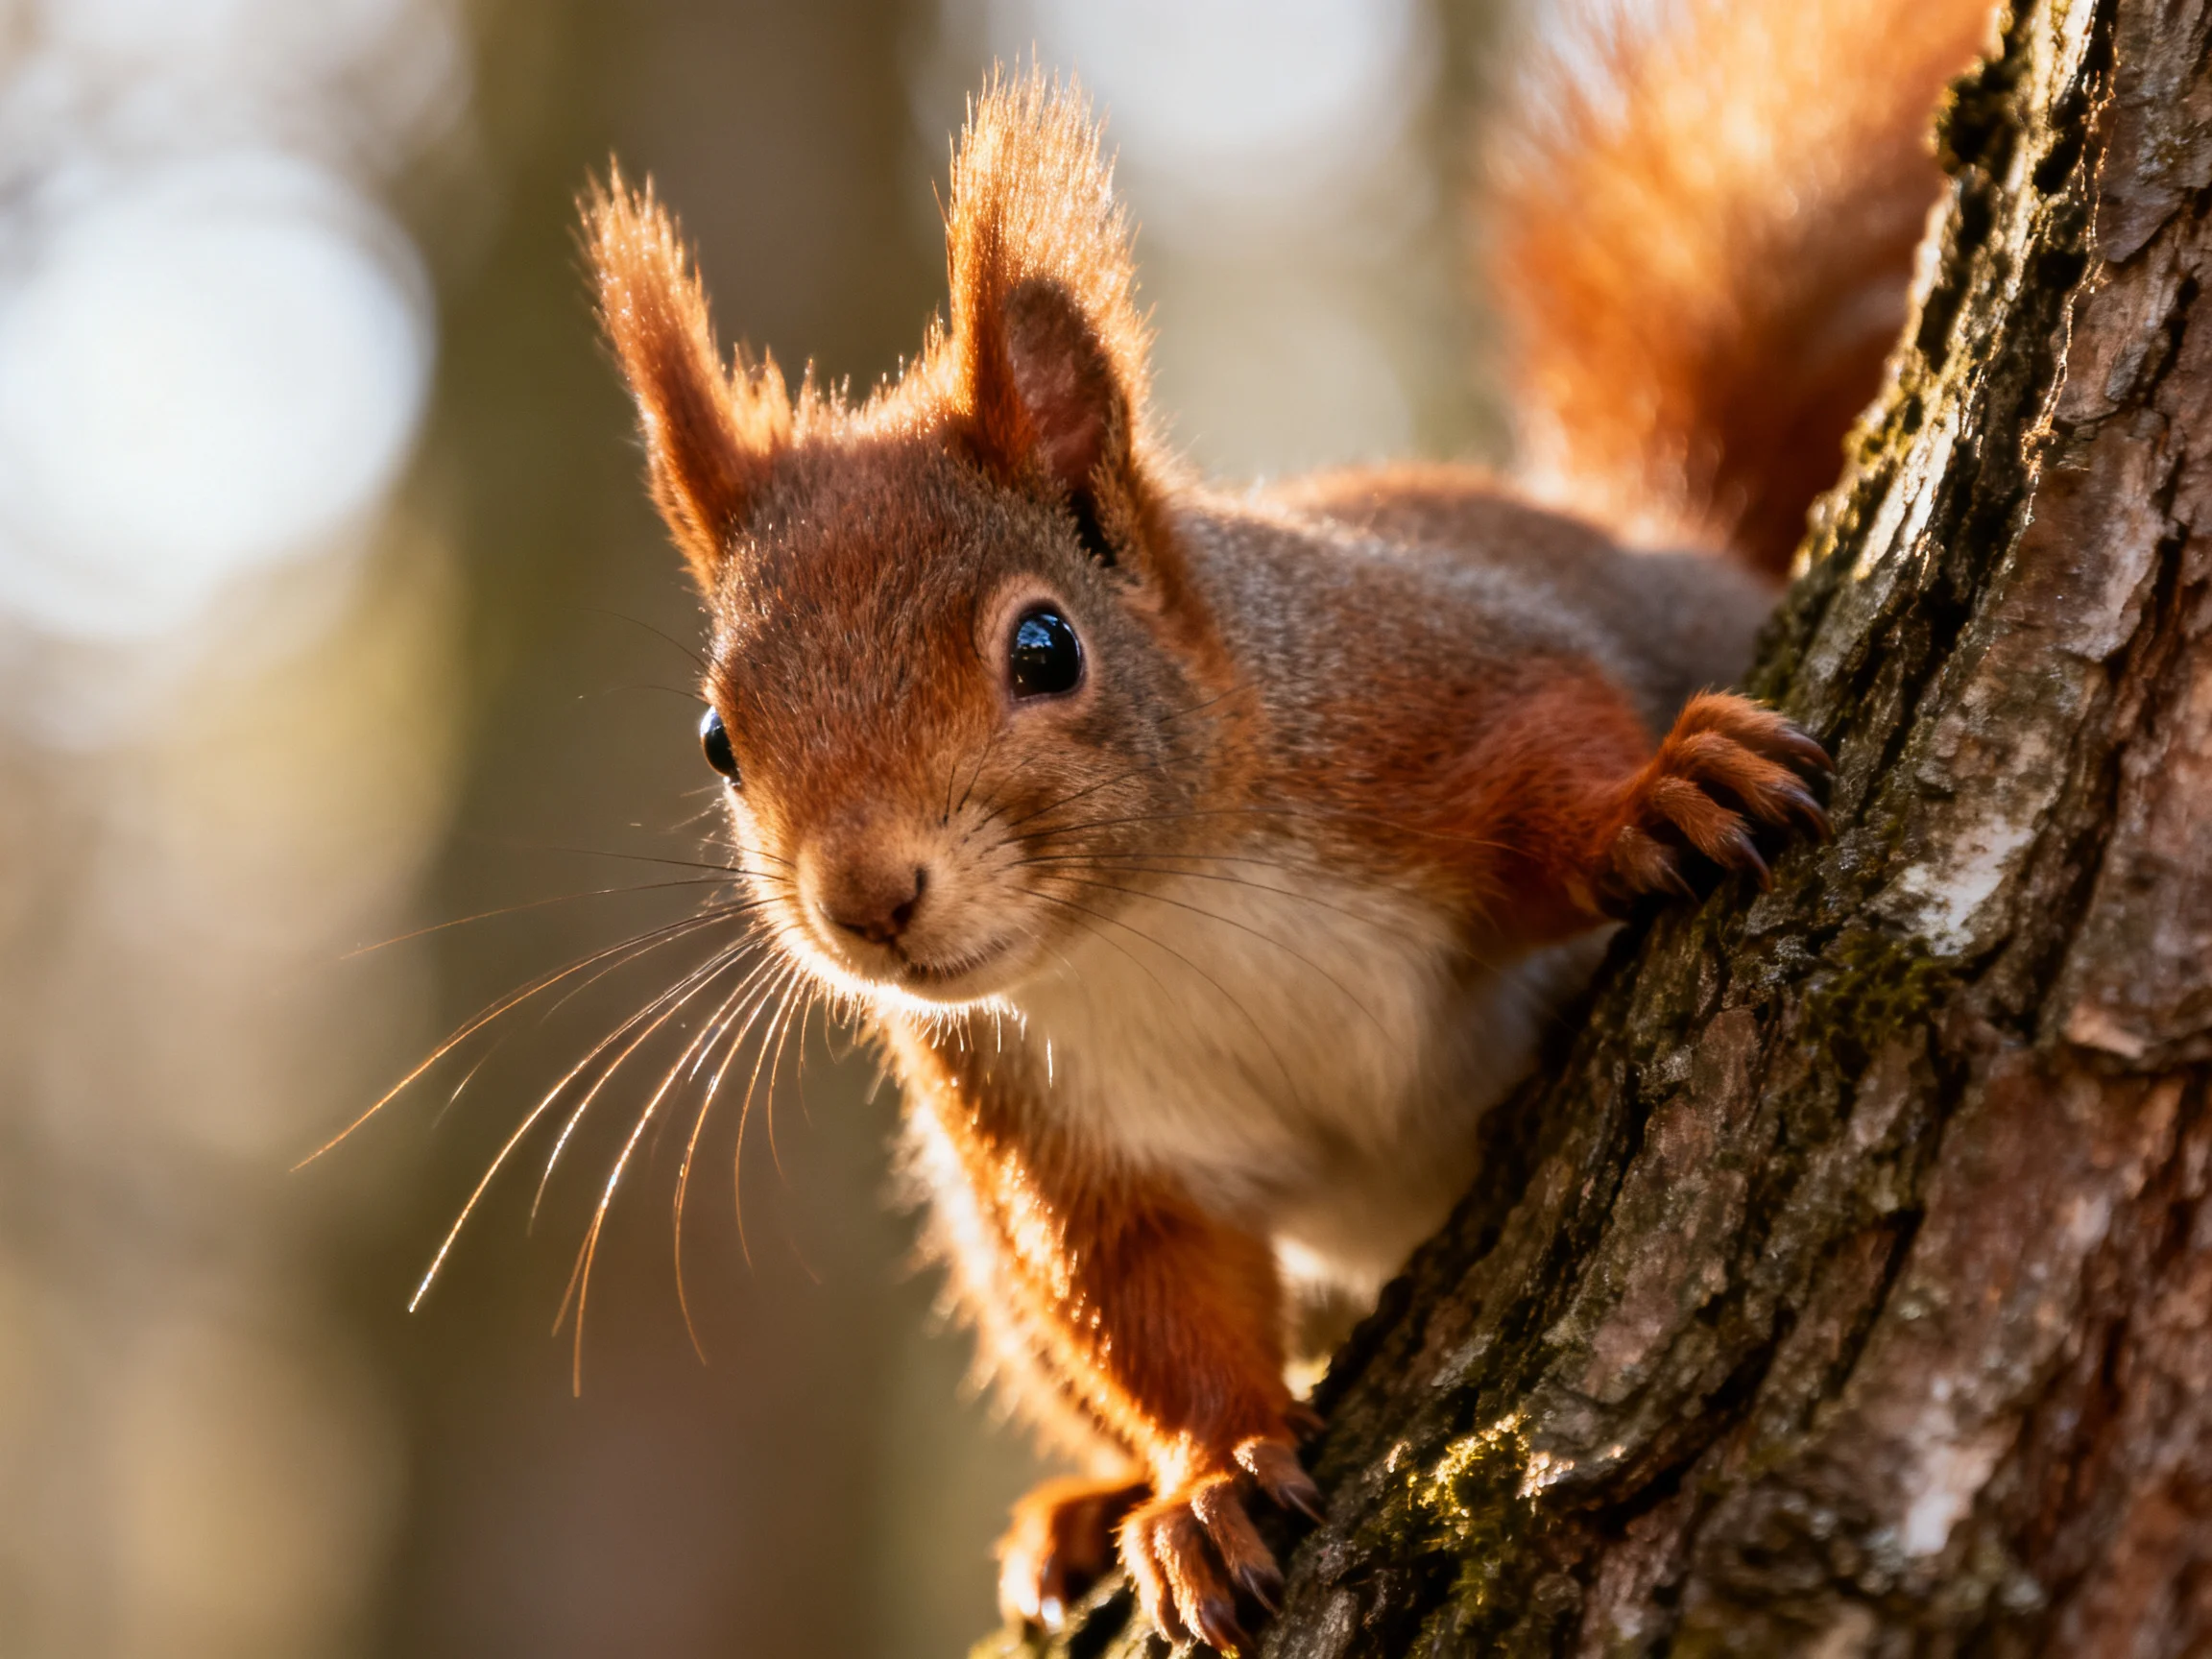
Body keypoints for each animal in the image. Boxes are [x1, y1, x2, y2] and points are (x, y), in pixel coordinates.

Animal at [580, 0, 1993, 1646]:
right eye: (718, 741)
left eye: (1045, 647)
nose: (866, 898)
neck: (1150, 913)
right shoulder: (1057, 1140)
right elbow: (1147, 1304)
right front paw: (1204, 1486)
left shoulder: (1417, 680)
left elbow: (1547, 743)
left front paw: (1654, 798)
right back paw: (1083, 1513)